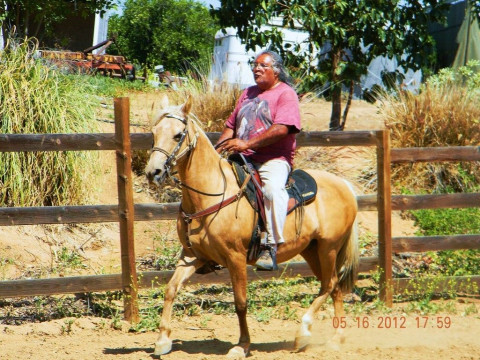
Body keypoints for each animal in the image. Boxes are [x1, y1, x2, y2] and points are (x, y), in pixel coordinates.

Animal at [144, 95, 358, 358]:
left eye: (177, 135)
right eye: (154, 133)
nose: (153, 172)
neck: (212, 193)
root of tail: (344, 185)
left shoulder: (235, 258)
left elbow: (240, 302)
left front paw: (242, 345)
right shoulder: (192, 256)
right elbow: (171, 288)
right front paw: (163, 340)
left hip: (329, 248)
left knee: (329, 284)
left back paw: (303, 332)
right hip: (313, 250)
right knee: (334, 286)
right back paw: (337, 338)